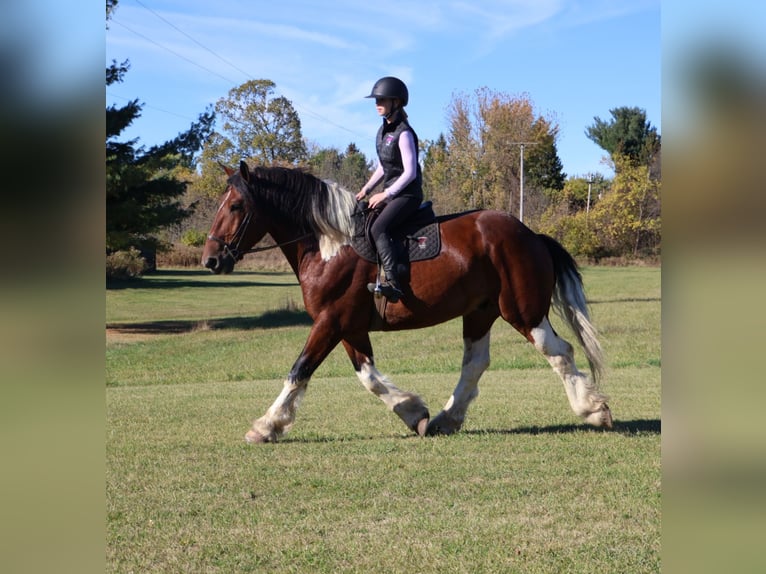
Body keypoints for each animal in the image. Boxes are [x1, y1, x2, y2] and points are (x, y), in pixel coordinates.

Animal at [202, 161, 612, 443]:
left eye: (236, 206)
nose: (211, 260)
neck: (330, 246)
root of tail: (531, 235)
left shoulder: (330, 321)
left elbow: (299, 370)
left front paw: (266, 426)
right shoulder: (348, 326)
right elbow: (368, 376)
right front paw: (413, 412)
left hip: (523, 312)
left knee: (559, 352)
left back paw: (593, 409)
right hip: (480, 313)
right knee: (475, 362)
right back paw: (447, 418)